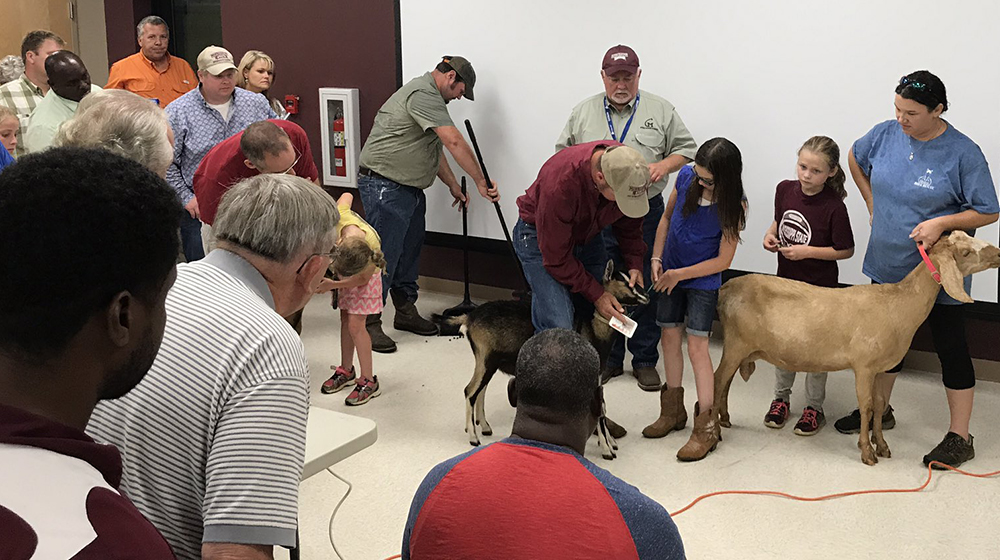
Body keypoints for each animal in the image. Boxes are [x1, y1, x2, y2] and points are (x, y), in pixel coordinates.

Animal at [712, 230, 1000, 466]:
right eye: (965, 252)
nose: (998, 253)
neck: (899, 305)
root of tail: (725, 288)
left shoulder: (881, 368)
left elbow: (880, 404)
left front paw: (882, 446)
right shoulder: (864, 366)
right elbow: (867, 406)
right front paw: (867, 452)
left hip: (740, 348)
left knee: (725, 382)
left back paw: (724, 418)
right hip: (736, 344)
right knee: (718, 379)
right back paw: (715, 428)